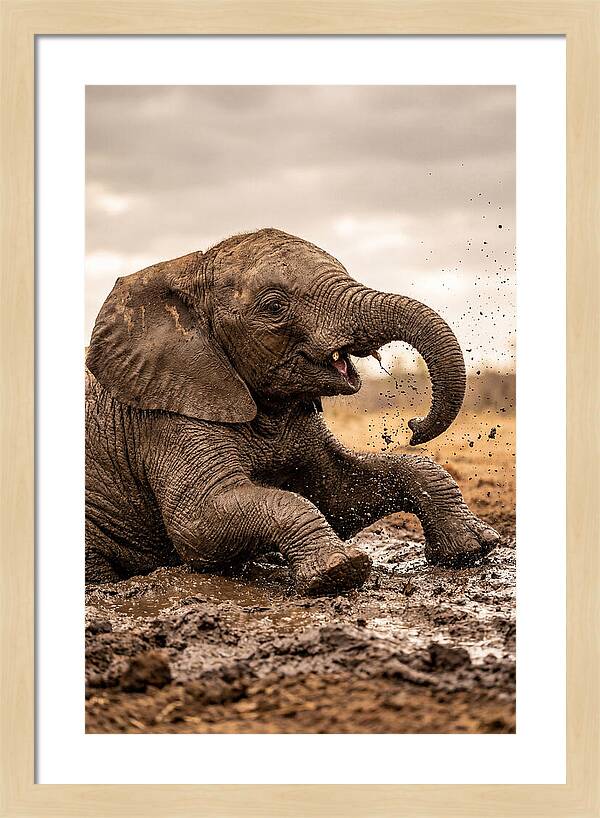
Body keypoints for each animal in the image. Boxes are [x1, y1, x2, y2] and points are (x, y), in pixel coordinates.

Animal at [85, 228, 499, 594]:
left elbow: (338, 492)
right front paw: (339, 571)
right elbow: (199, 524)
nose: (413, 426)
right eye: (274, 307)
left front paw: (474, 548)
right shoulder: (167, 417)